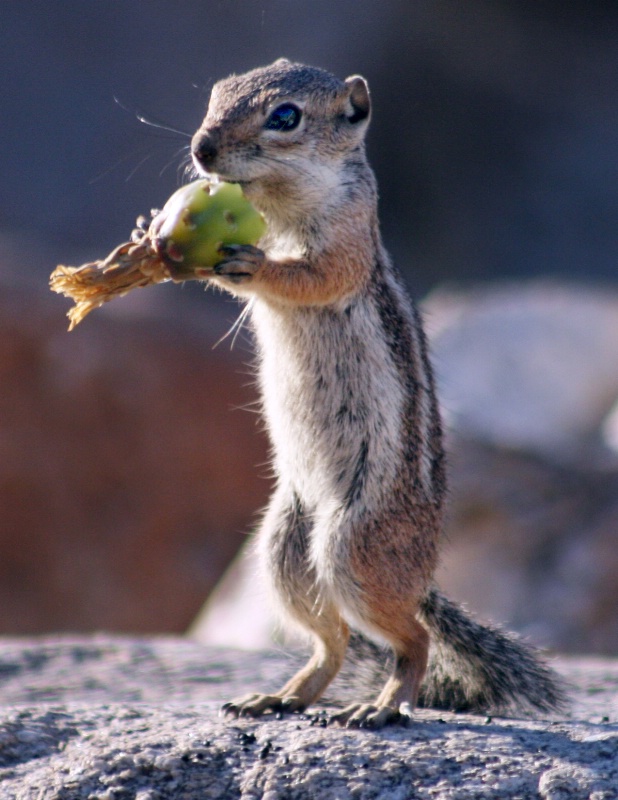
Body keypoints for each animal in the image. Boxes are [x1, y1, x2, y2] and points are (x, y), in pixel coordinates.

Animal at [189, 59, 564, 728]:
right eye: (215, 95)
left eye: (286, 116)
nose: (202, 149)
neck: (277, 209)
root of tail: (421, 575)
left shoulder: (347, 245)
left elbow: (311, 277)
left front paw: (252, 265)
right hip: (285, 546)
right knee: (332, 643)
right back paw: (279, 697)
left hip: (353, 545)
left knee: (412, 640)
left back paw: (381, 708)